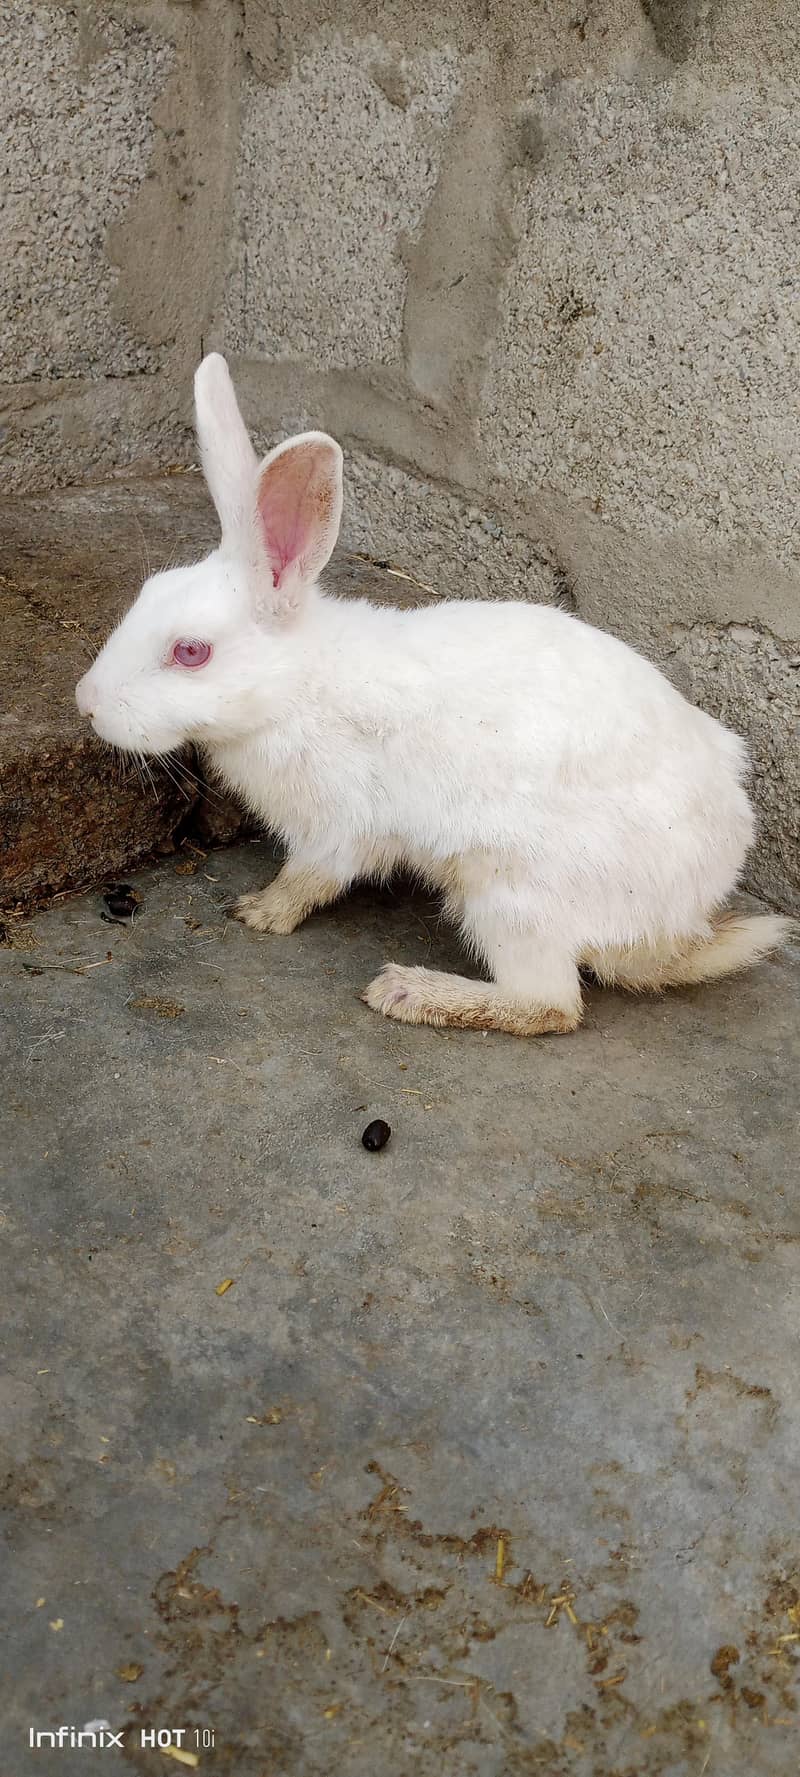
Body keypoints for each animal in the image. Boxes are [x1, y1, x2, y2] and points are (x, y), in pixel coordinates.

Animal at [75, 353, 791, 1037]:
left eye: (190, 652)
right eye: (145, 594)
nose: (87, 702)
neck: (297, 684)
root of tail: (679, 920)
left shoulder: (339, 821)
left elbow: (312, 876)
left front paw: (261, 912)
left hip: (511, 894)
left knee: (550, 1005)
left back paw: (407, 992)